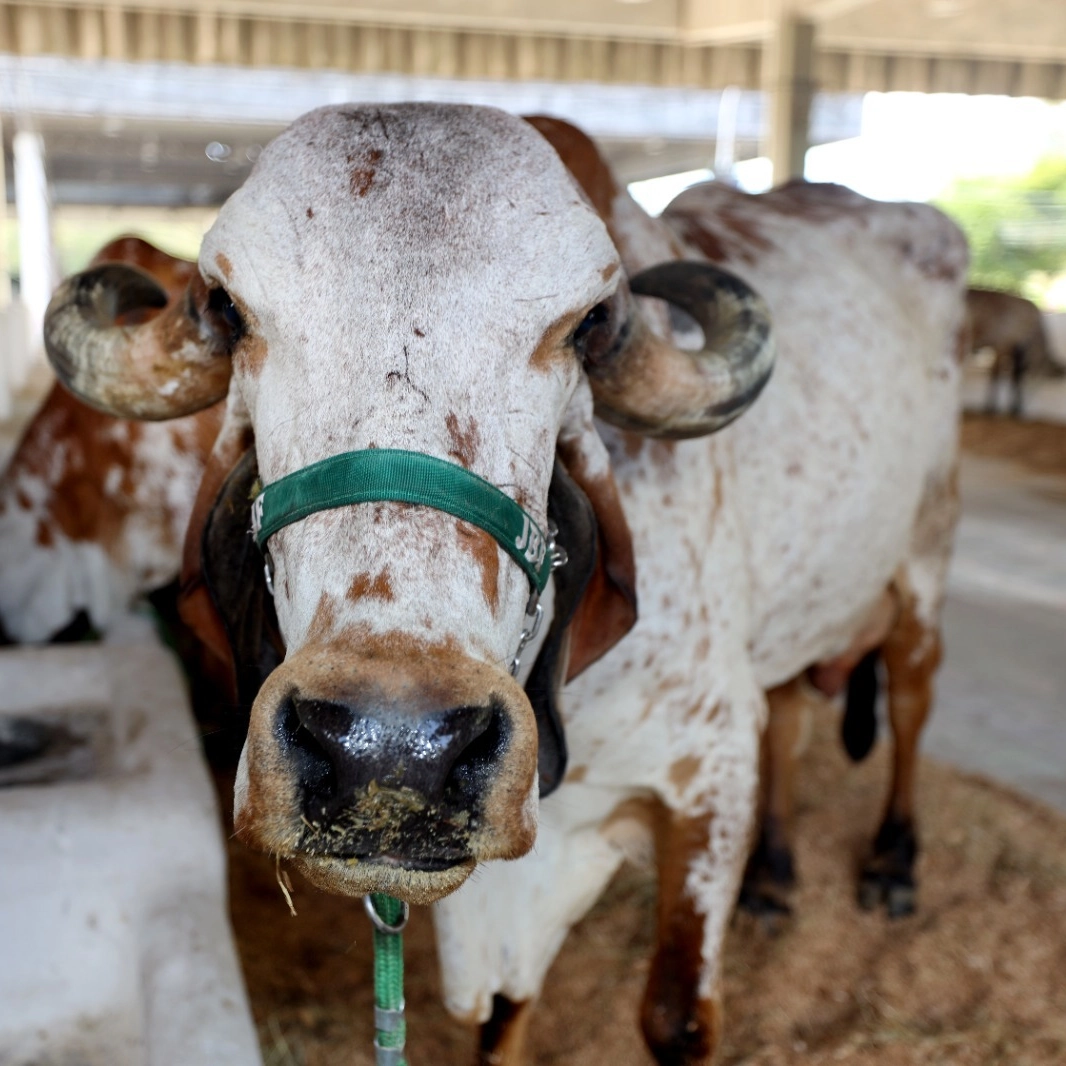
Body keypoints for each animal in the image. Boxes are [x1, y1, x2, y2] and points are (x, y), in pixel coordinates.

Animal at [41, 101, 972, 1066]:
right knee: (790, 713)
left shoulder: (710, 770)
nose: (391, 750)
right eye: (228, 307)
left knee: (910, 695)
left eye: (588, 324)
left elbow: (675, 1020)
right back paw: (776, 877)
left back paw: (893, 862)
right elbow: (502, 1019)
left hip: (927, 554)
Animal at [967, 287, 1057, 415]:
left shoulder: (1014, 350)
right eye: (1040, 373)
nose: (1022, 406)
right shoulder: (1002, 345)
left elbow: (1015, 376)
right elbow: (996, 374)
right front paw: (990, 407)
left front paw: (1013, 407)